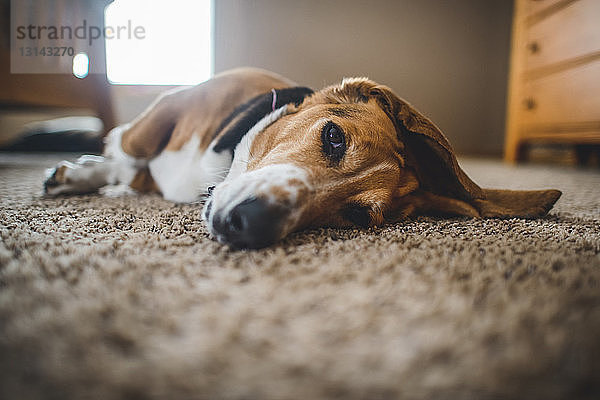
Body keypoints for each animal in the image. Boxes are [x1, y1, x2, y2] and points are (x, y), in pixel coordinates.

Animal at [44, 67, 560, 248]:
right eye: (333, 137)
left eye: (357, 216)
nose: (248, 225)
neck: (218, 168)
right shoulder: (167, 110)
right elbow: (125, 149)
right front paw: (81, 173)